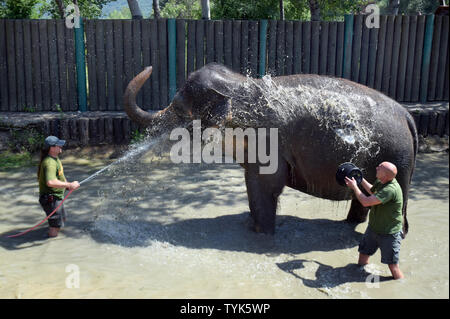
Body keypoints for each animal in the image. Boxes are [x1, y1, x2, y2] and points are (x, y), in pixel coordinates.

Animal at [123, 63, 418, 238]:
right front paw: (248, 224)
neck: (239, 85)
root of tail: (407, 115)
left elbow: (268, 183)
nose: (149, 67)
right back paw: (348, 224)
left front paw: (260, 233)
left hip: (398, 159)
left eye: (179, 108)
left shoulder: (267, 138)